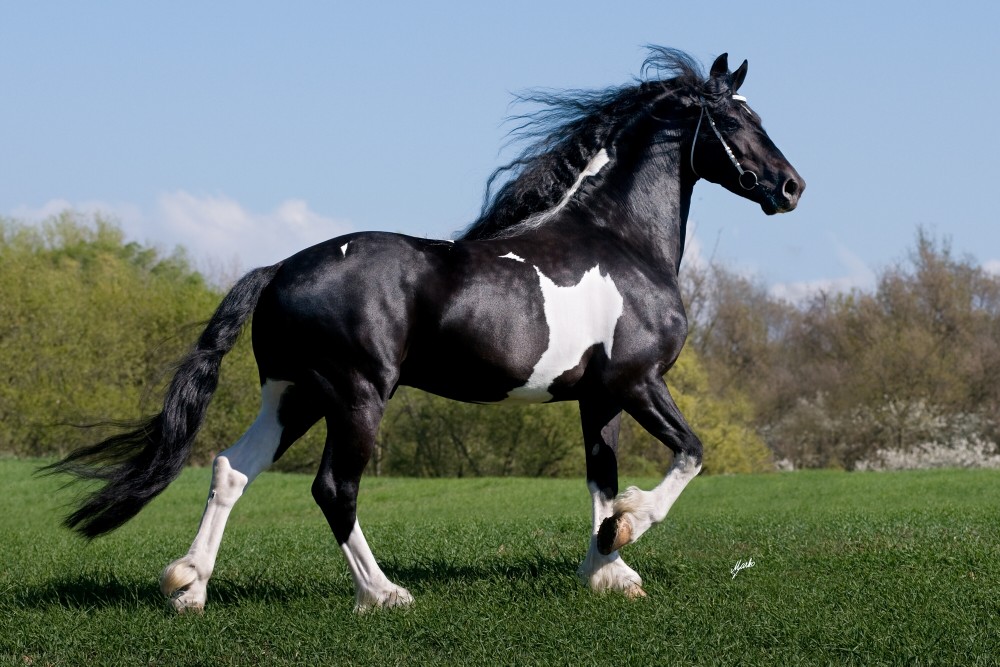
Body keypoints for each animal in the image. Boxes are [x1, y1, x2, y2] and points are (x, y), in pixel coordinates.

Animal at [52, 49, 804, 612]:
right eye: (734, 119)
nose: (791, 187)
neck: (617, 240)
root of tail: (278, 269)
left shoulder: (598, 396)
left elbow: (600, 478)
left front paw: (606, 569)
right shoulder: (637, 381)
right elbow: (691, 453)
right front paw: (627, 531)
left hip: (294, 395)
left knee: (232, 468)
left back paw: (188, 586)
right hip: (354, 396)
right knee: (333, 488)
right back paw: (383, 593)